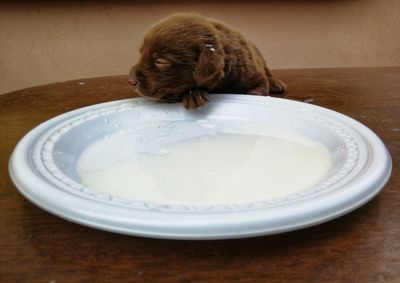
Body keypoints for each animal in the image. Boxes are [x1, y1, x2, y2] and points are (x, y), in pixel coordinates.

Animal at [130, 13, 286, 110]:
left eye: (161, 61)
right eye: (141, 53)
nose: (131, 81)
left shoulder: (252, 73)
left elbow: (259, 86)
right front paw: (194, 94)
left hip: (258, 55)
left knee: (267, 71)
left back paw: (276, 83)